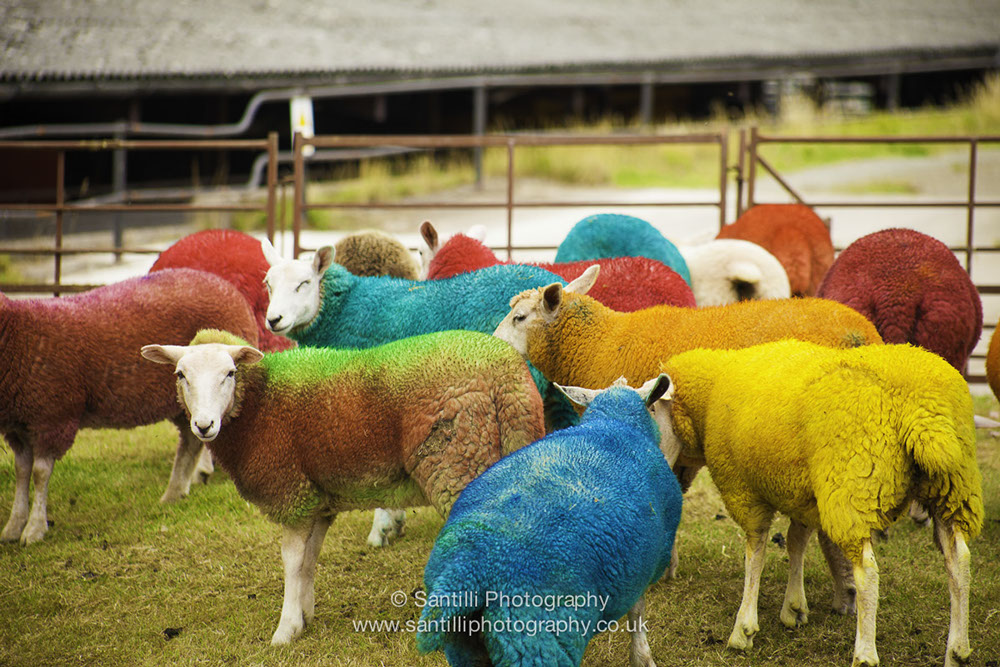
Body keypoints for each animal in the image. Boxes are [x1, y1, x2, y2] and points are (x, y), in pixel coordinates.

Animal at [412, 376, 680, 667]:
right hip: (536, 639)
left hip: (463, 646)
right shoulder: (647, 562)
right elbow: (637, 615)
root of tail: (466, 573)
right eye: (653, 408)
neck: (614, 423)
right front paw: (643, 657)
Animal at [660, 342, 980, 664]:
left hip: (855, 488)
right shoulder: (802, 494)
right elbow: (795, 542)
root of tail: (924, 410)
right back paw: (957, 650)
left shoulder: (744, 492)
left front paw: (744, 629)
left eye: (651, 409)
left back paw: (865, 653)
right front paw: (793, 607)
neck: (711, 392)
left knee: (867, 572)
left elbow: (755, 554)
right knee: (959, 560)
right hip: (952, 489)